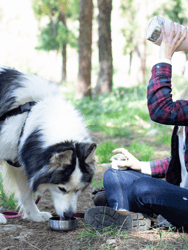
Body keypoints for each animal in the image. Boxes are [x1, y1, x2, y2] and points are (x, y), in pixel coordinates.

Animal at [0, 65, 96, 224]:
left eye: (78, 189)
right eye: (61, 188)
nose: (69, 215)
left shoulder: (23, 162)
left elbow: (26, 194)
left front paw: (35, 215)